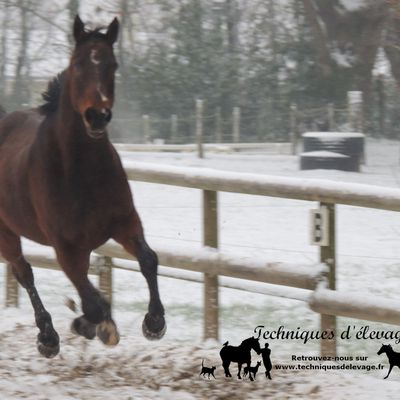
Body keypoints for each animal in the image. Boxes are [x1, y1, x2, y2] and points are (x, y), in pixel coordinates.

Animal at [0, 16, 166, 360]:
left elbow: (148, 260)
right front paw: (96, 327)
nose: (97, 116)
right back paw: (48, 337)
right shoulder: (65, 246)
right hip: (6, 233)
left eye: (113, 65)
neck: (80, 170)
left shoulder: (124, 222)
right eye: (77, 64)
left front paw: (154, 322)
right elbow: (93, 302)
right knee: (24, 272)